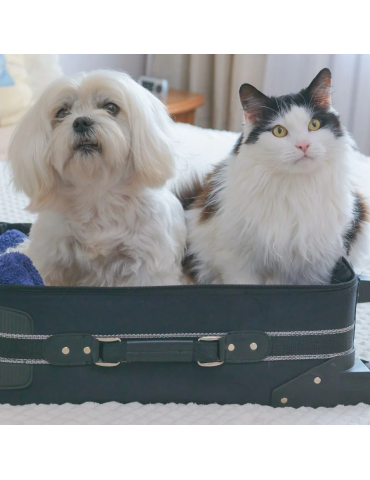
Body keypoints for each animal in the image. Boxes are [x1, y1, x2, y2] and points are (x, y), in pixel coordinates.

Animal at [7, 70, 188, 286]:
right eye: (62, 112)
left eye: (111, 107)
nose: (81, 122)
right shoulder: (50, 255)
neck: (96, 192)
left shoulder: (147, 266)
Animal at [178, 68, 370, 284]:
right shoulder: (238, 262)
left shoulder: (316, 268)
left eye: (314, 124)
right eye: (279, 131)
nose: (303, 145)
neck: (296, 188)